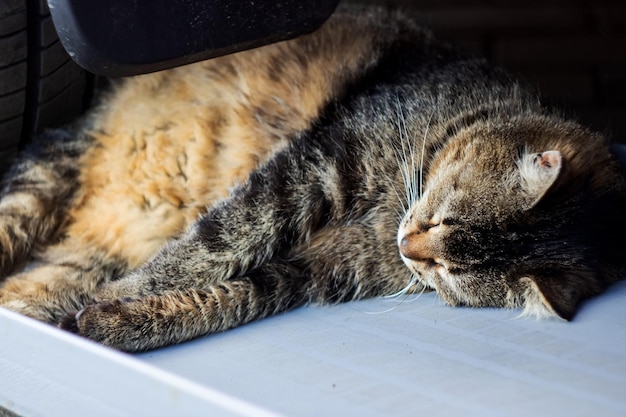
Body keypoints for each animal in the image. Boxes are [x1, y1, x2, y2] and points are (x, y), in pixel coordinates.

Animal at [1, 4, 624, 352]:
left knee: (28, 292)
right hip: (42, 184)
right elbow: (211, 245)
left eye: (449, 274)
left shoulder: (310, 271)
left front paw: (111, 320)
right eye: (443, 216)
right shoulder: (312, 168)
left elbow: (226, 298)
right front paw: (123, 294)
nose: (408, 247)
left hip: (74, 259)